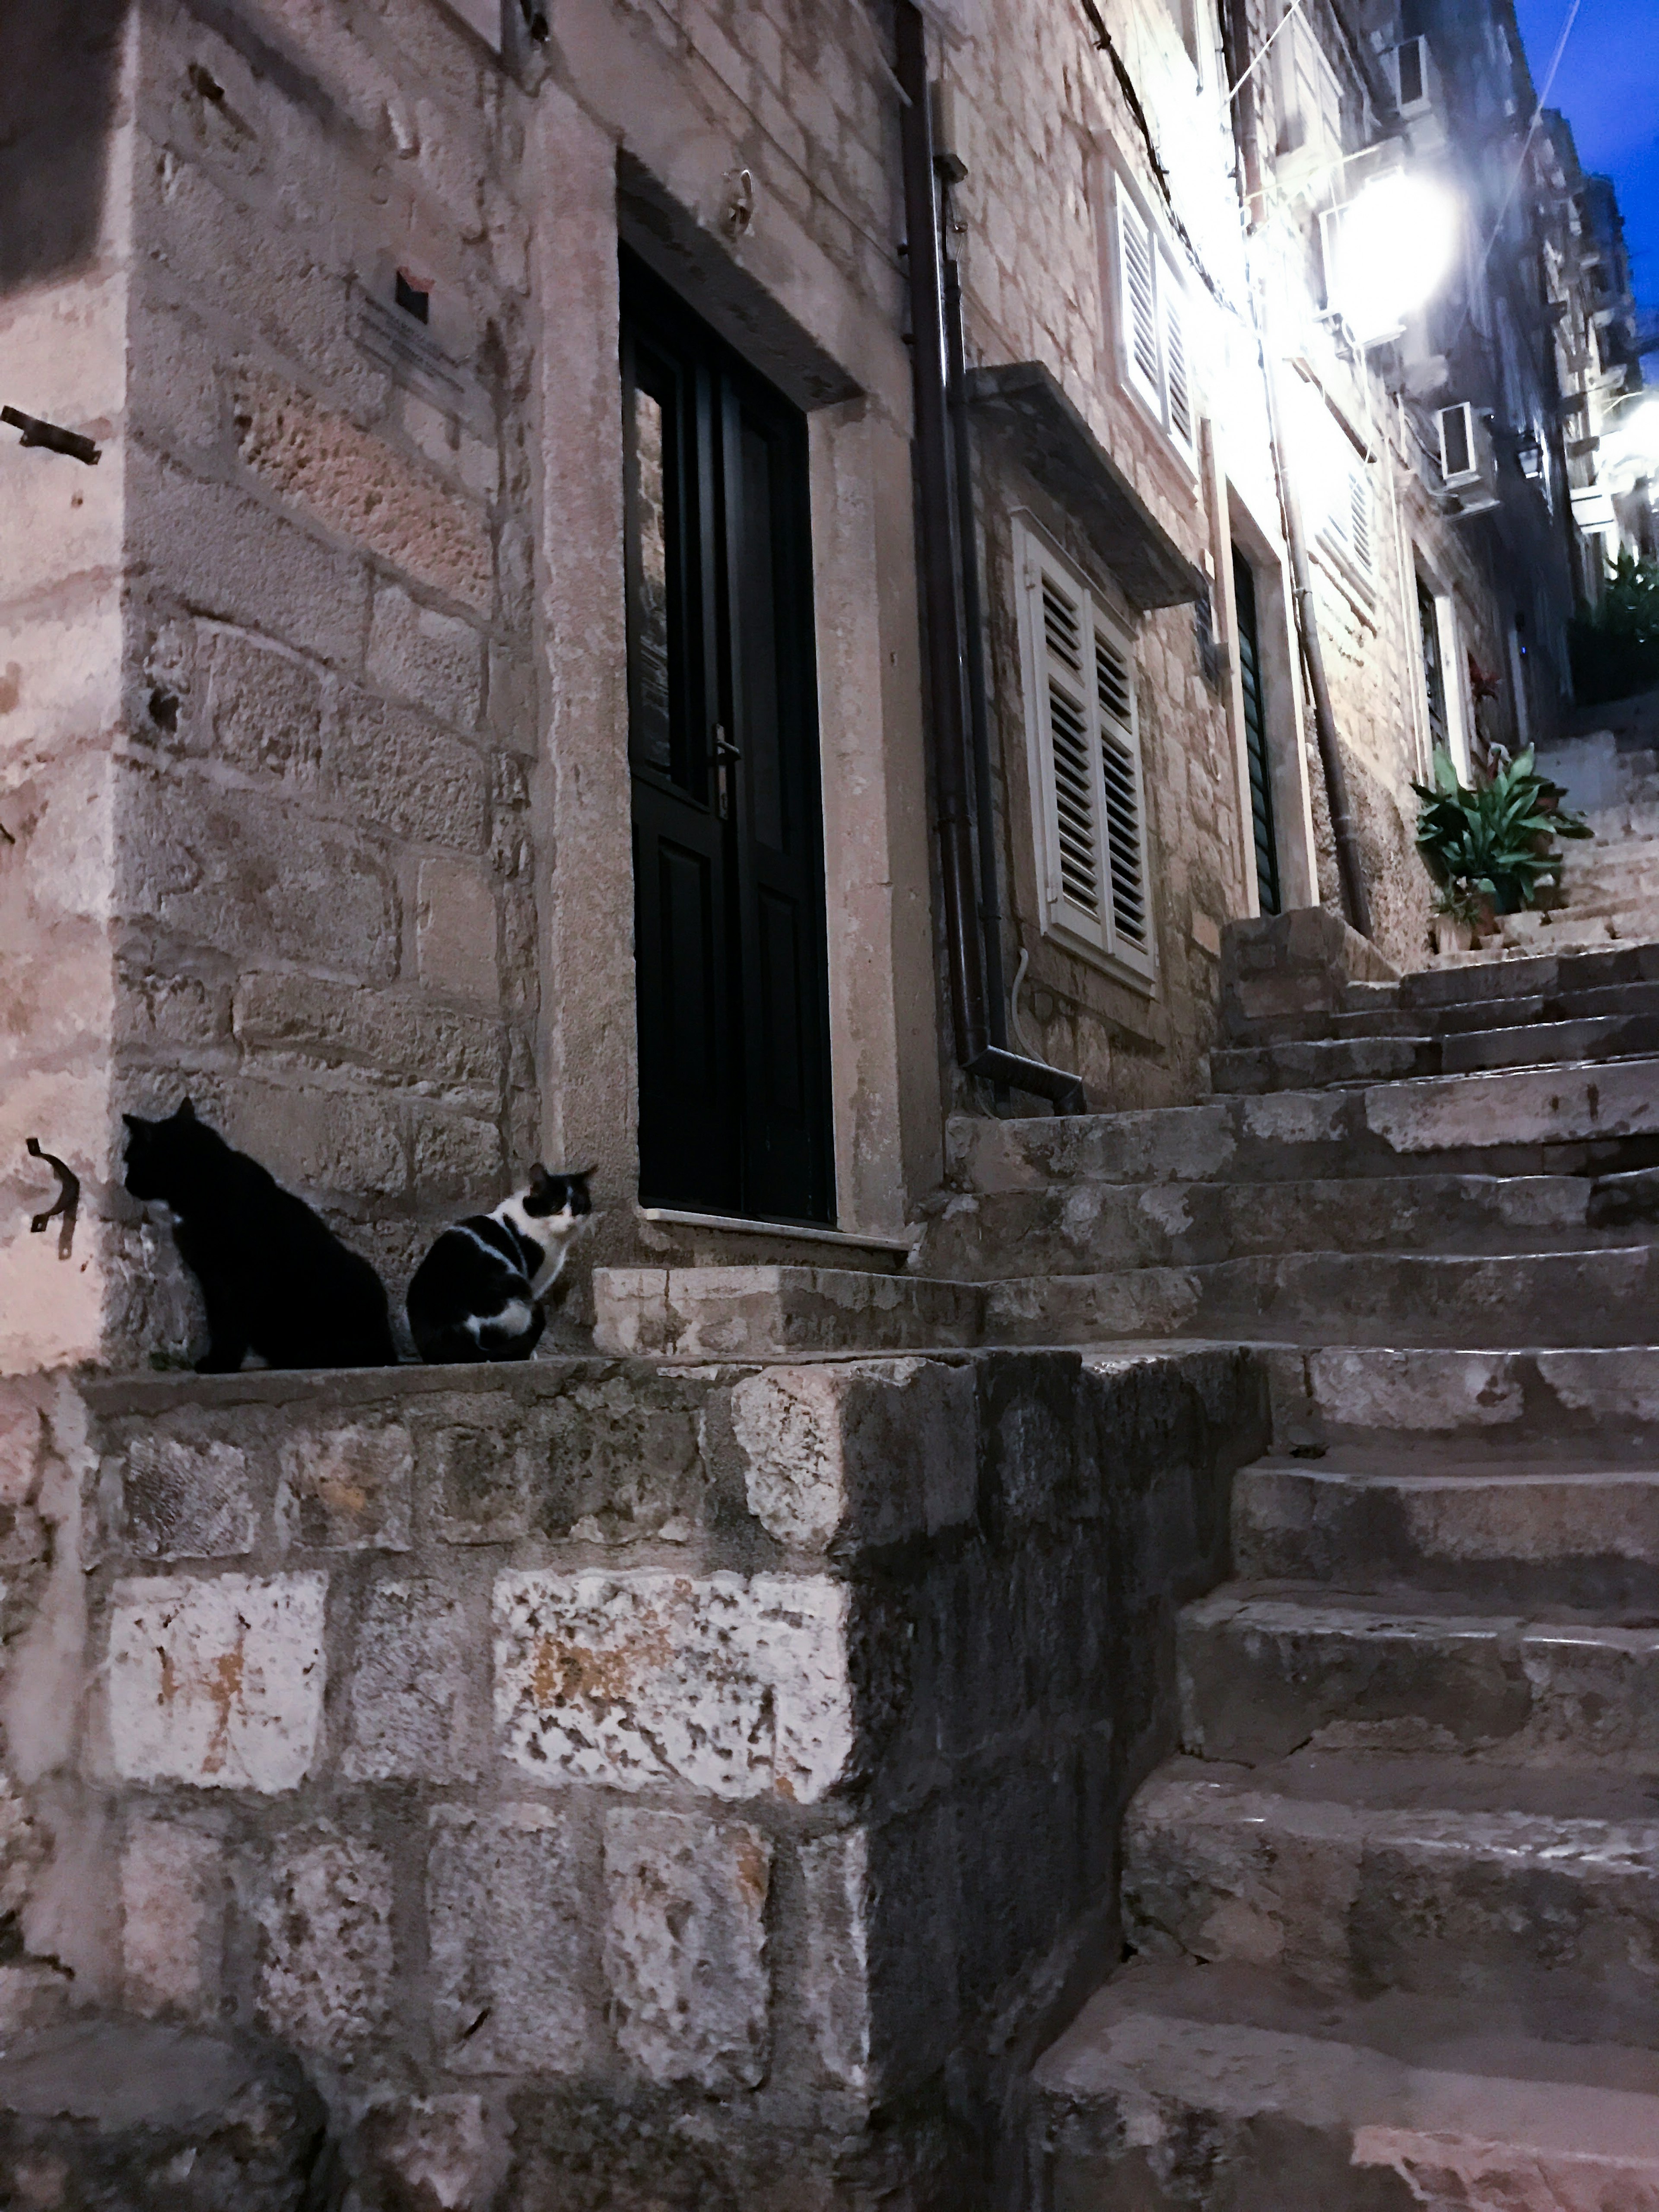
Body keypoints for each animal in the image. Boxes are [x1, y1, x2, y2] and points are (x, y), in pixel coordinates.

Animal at [123, 1097, 400, 1371]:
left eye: (129, 1160)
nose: (125, 1182)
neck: (204, 1188)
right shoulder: (211, 1279)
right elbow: (218, 1321)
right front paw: (218, 1357)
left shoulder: (248, 1273)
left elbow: (233, 1320)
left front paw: (222, 1361)